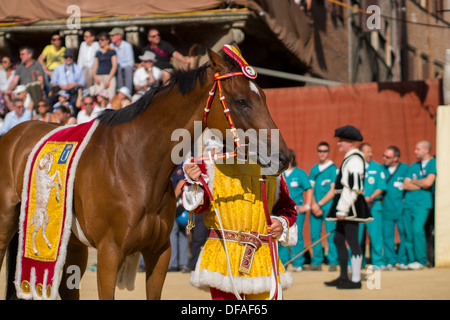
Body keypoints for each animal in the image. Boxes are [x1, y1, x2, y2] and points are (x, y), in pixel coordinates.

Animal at [0, 47, 290, 300]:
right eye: (241, 101)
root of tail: (13, 134)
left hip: (71, 243)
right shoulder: (109, 253)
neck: (135, 163)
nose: (284, 156)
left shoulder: (159, 253)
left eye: (264, 97)